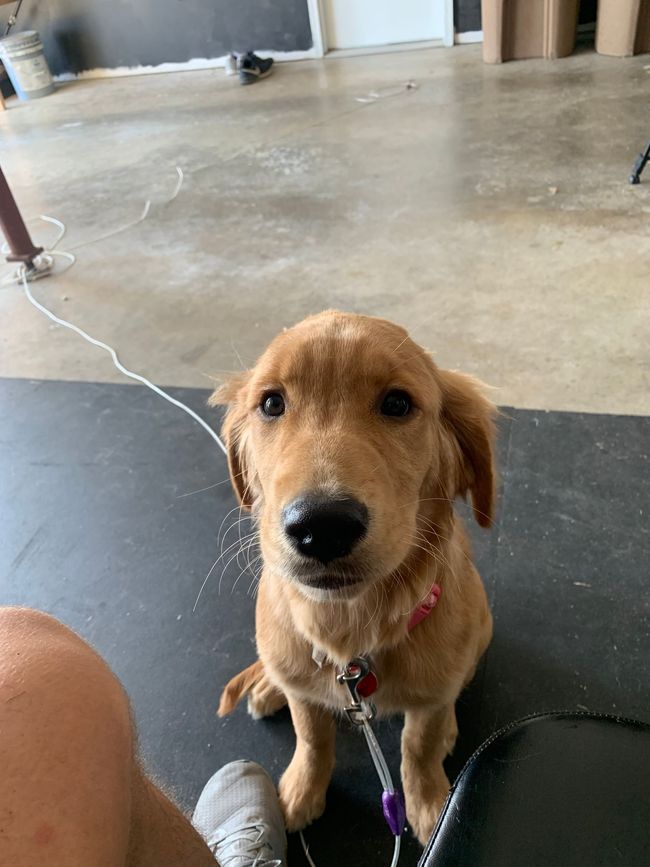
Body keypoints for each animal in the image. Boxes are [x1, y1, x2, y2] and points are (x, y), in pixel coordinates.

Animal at [211, 308, 492, 844]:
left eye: (398, 403)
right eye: (272, 403)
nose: (321, 526)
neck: (349, 627)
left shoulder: (429, 695)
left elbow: (419, 744)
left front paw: (430, 804)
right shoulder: (307, 690)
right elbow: (311, 734)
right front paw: (301, 790)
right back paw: (268, 687)